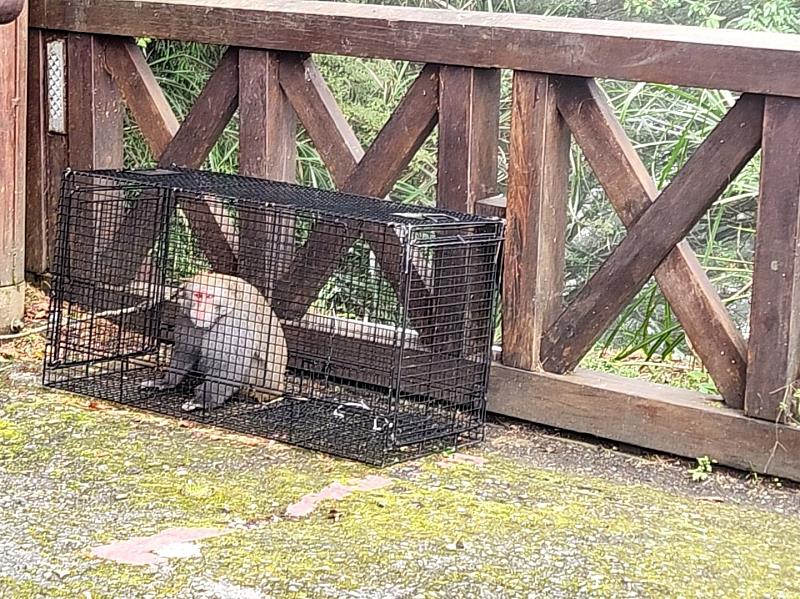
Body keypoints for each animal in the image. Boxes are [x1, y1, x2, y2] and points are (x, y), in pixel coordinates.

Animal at [140, 272, 288, 412]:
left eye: (209, 297)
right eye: (198, 295)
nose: (200, 310)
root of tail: (277, 388)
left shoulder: (233, 322)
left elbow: (229, 364)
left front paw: (203, 401)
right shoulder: (187, 318)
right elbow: (186, 350)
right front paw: (167, 381)